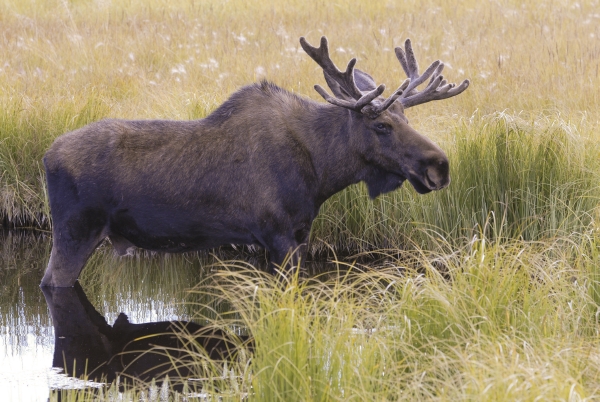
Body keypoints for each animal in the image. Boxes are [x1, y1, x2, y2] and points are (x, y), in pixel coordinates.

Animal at [41, 34, 468, 286]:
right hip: (74, 231)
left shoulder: (300, 233)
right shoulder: (277, 234)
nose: (439, 166)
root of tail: (45, 157)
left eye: (407, 118)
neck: (322, 171)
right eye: (381, 124)